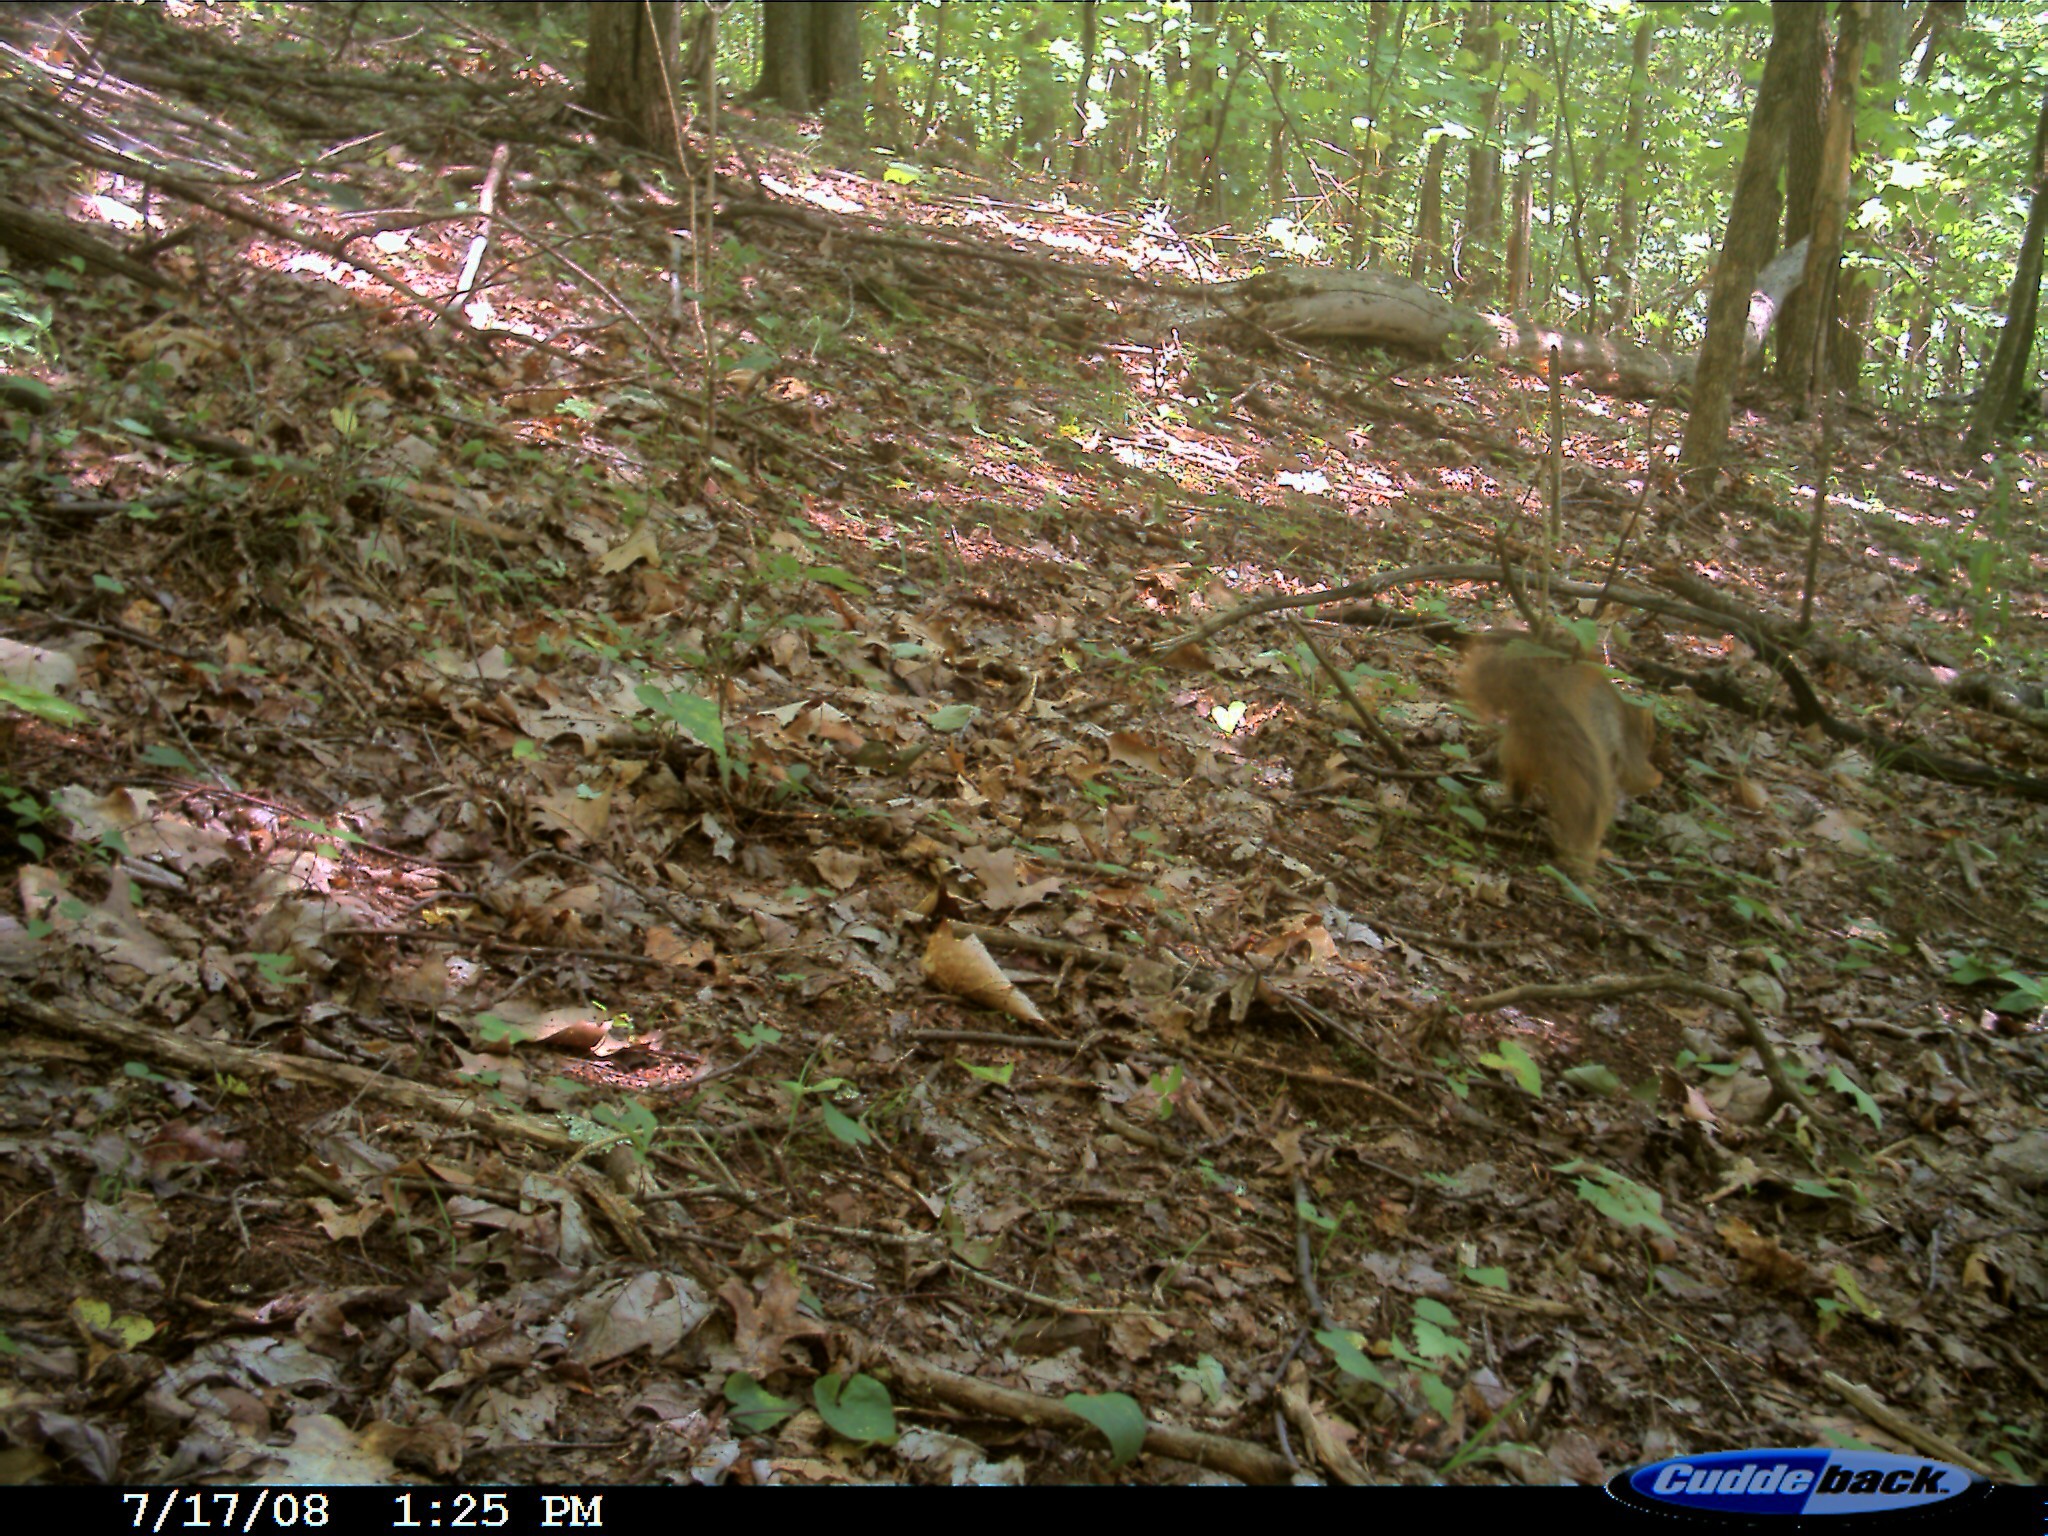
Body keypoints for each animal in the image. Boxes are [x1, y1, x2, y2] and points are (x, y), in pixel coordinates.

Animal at [1458, 638, 1662, 876]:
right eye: (1652, 733)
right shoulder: (1630, 753)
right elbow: (1641, 777)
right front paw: (1657, 778)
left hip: (1518, 748)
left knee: (1519, 784)